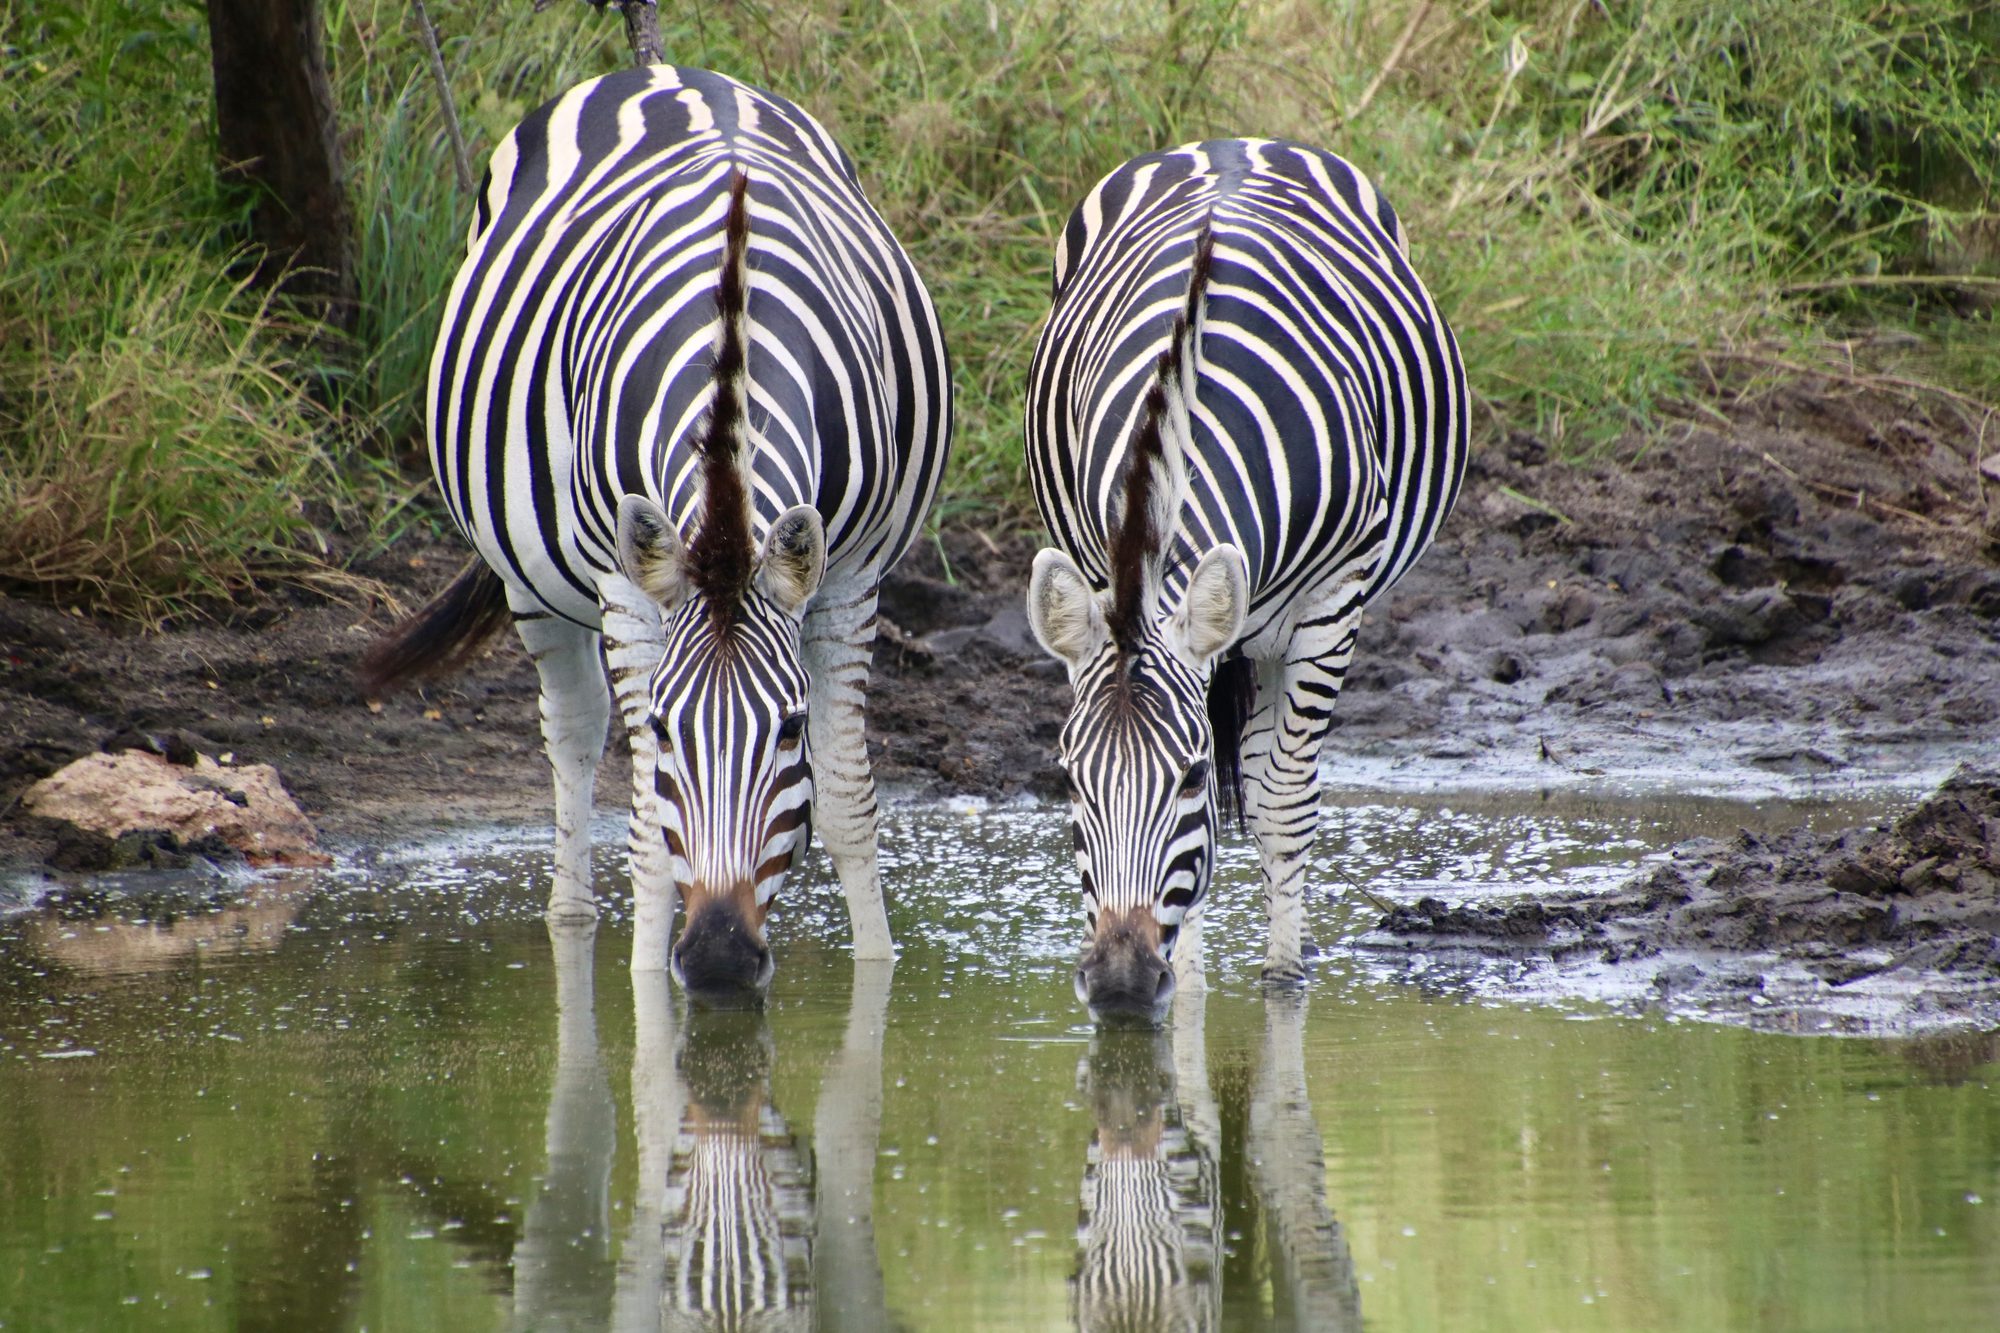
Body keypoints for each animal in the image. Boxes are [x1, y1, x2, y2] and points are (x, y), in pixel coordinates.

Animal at [362, 66, 952, 995]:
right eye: (672, 731)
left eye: (789, 729)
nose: (717, 960)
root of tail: (661, 72)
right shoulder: (628, 586)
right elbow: (642, 820)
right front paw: (648, 988)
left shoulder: (853, 575)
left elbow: (849, 798)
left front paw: (876, 976)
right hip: (530, 576)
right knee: (573, 732)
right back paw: (571, 919)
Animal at [1024, 139, 1467, 1016]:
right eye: (1070, 781)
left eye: (1192, 777)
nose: (1121, 983)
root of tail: (1229, 143)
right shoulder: (1103, 568)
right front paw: (1189, 985)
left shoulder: (1334, 599)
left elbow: (1281, 800)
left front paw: (1284, 977)